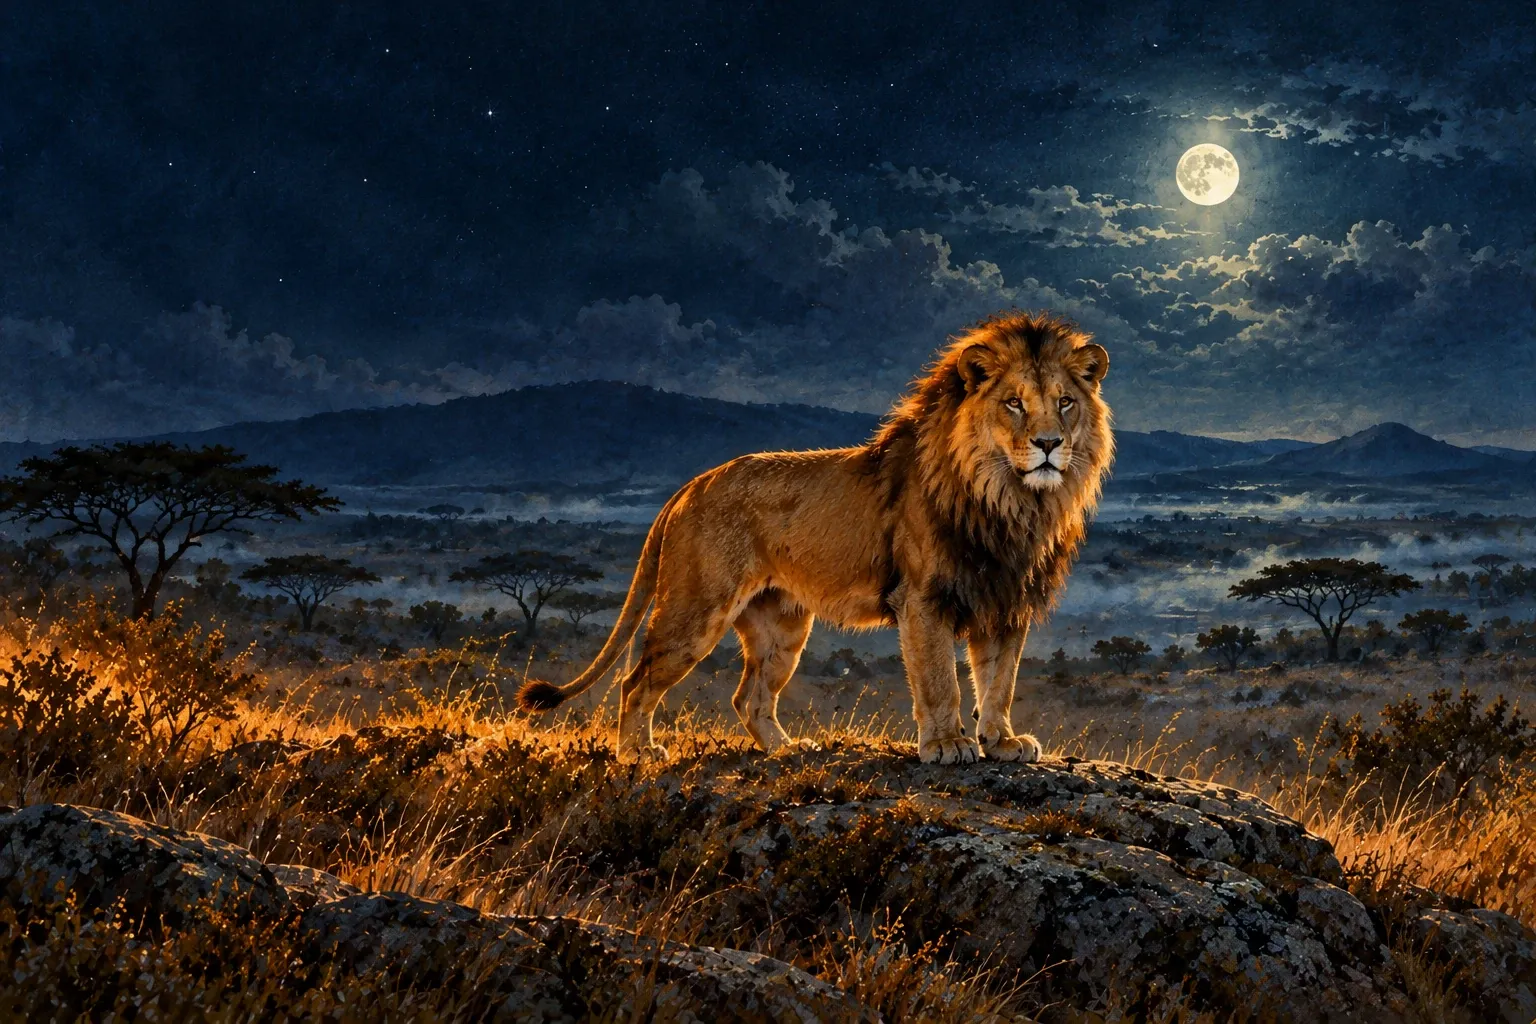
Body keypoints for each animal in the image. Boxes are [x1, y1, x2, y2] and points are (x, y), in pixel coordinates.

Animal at [518, 311, 1114, 763]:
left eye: (1064, 402)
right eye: (1014, 402)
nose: (1048, 444)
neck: (1013, 501)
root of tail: (691, 485)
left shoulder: (1006, 598)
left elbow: (999, 680)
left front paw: (1002, 740)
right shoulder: (923, 598)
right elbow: (940, 679)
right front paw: (947, 744)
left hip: (783, 626)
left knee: (748, 697)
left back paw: (786, 749)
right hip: (696, 610)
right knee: (636, 682)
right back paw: (638, 753)